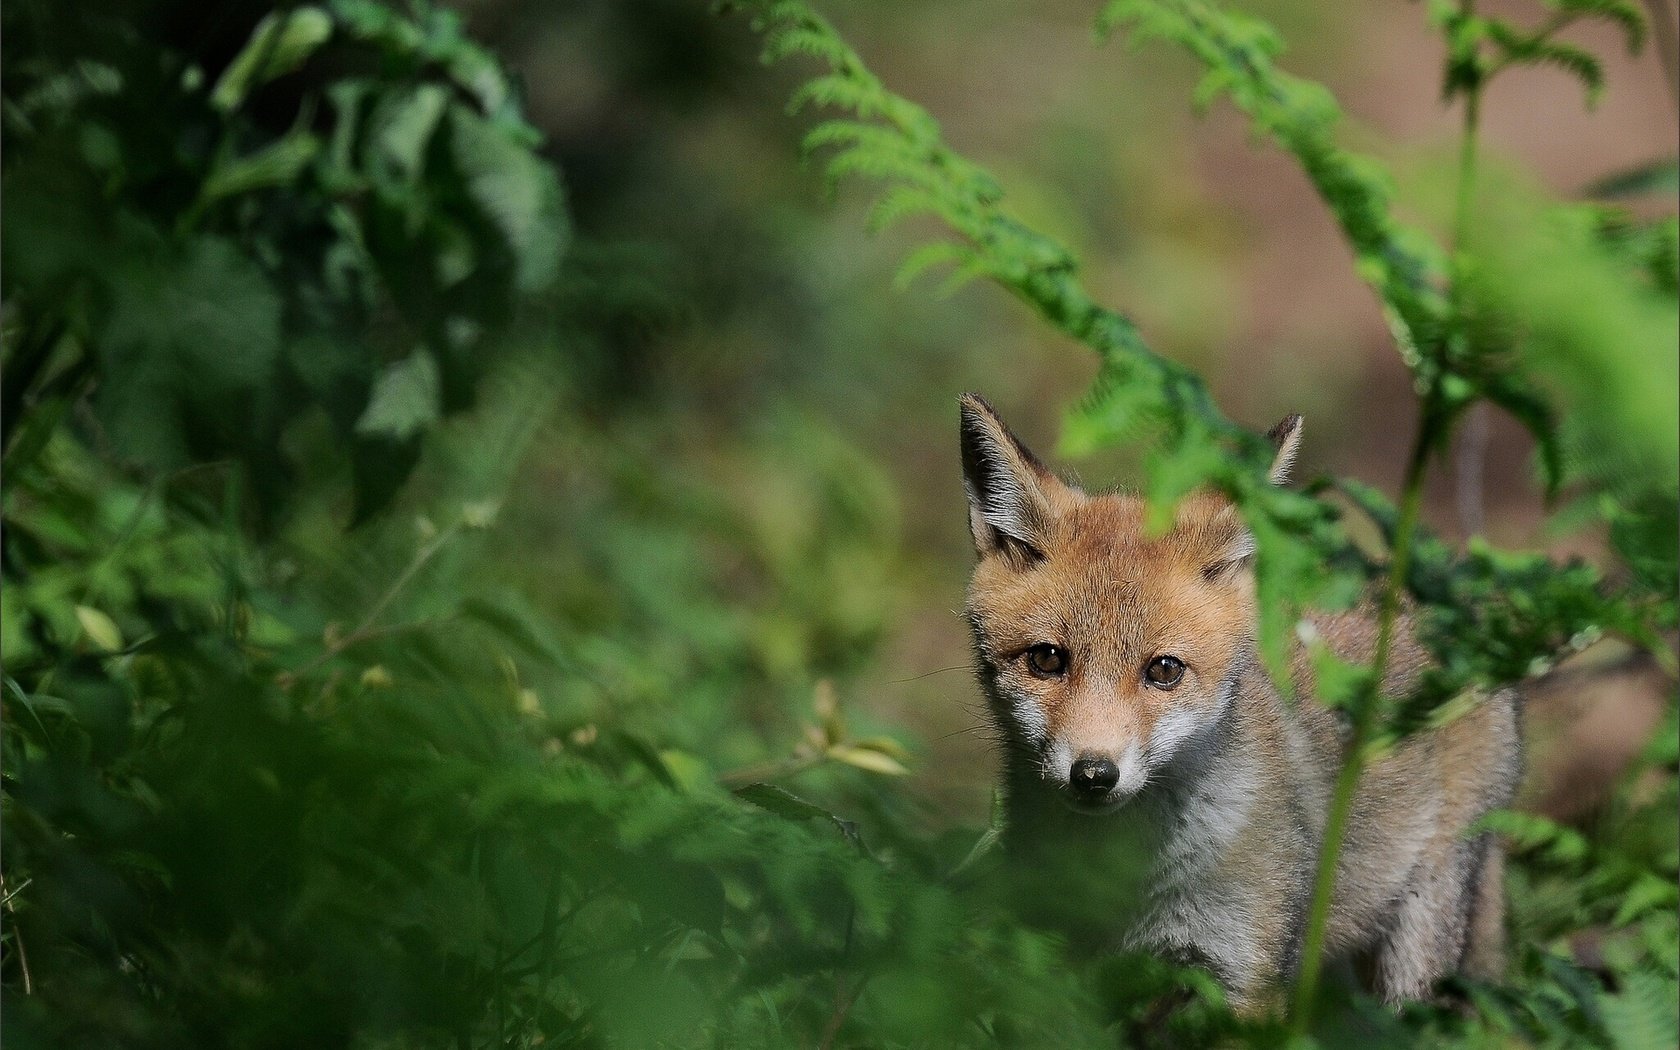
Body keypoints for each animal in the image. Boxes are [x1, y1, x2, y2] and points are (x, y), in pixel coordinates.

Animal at [960, 391, 1525, 1007]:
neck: (1127, 878)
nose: (1093, 774)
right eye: (1046, 660)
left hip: (1416, 949)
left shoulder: (1244, 976)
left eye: (1164, 670)